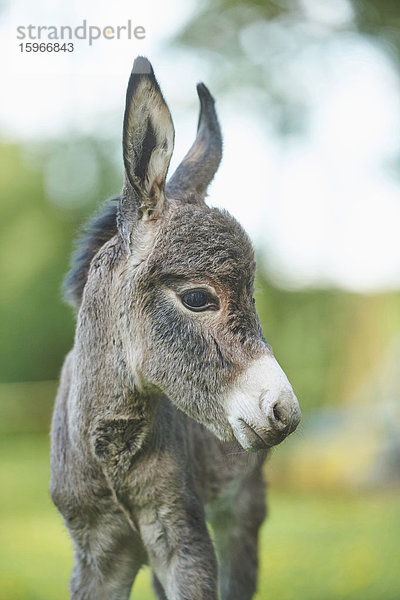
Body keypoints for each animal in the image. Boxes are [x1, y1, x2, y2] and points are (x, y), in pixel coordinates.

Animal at [50, 57, 300, 600]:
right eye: (198, 298)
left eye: (253, 298)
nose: (286, 413)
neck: (112, 456)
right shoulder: (95, 554)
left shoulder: (185, 538)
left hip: (243, 511)